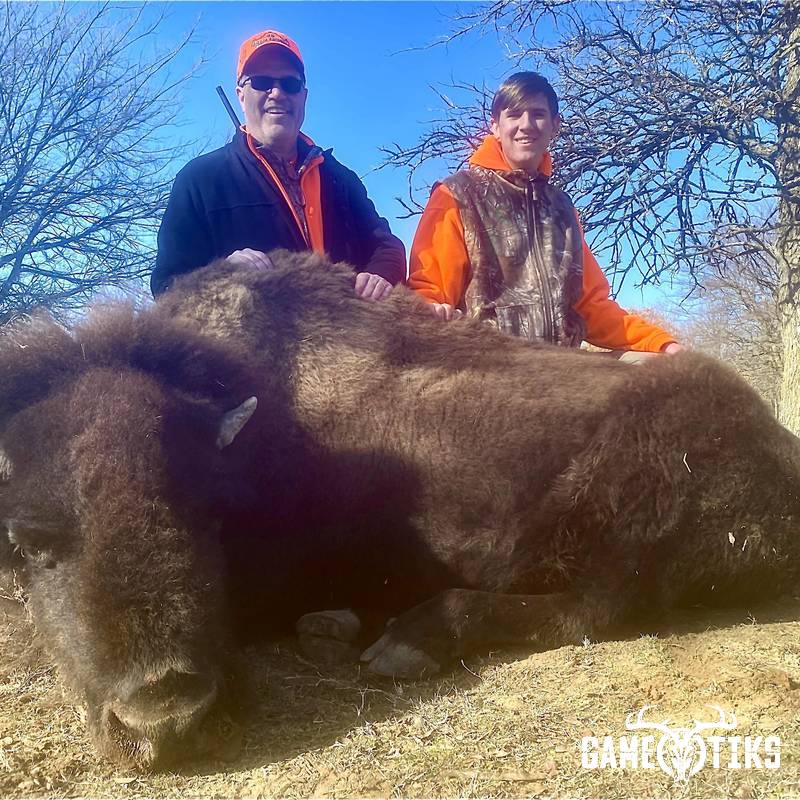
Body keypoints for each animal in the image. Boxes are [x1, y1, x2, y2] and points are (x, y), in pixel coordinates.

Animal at [1, 250, 799, 771]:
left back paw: (405, 641)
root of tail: (778, 448)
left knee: (588, 610)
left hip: (630, 532)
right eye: (31, 541)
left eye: (208, 516)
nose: (164, 721)